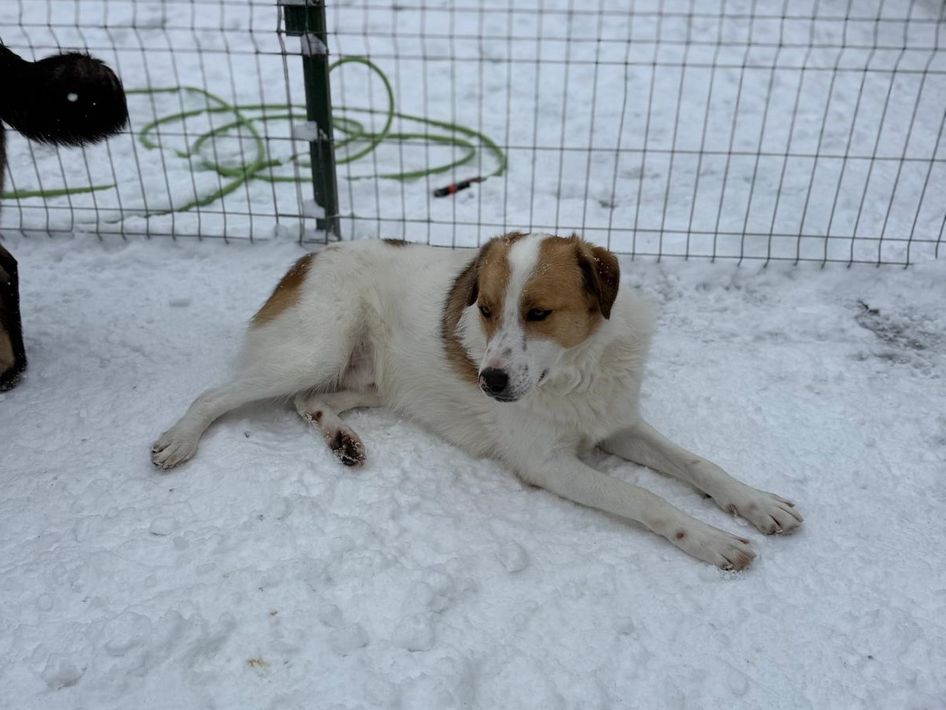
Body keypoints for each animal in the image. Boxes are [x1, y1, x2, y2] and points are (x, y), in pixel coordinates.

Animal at [152, 233, 802, 569]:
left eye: (538, 313)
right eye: (485, 309)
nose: (488, 381)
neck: (577, 370)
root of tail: (311, 254)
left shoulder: (617, 422)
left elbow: (699, 464)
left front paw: (756, 504)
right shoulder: (546, 463)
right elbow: (648, 499)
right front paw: (713, 540)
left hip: (368, 380)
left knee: (307, 401)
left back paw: (343, 441)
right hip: (315, 348)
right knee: (216, 392)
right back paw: (178, 440)